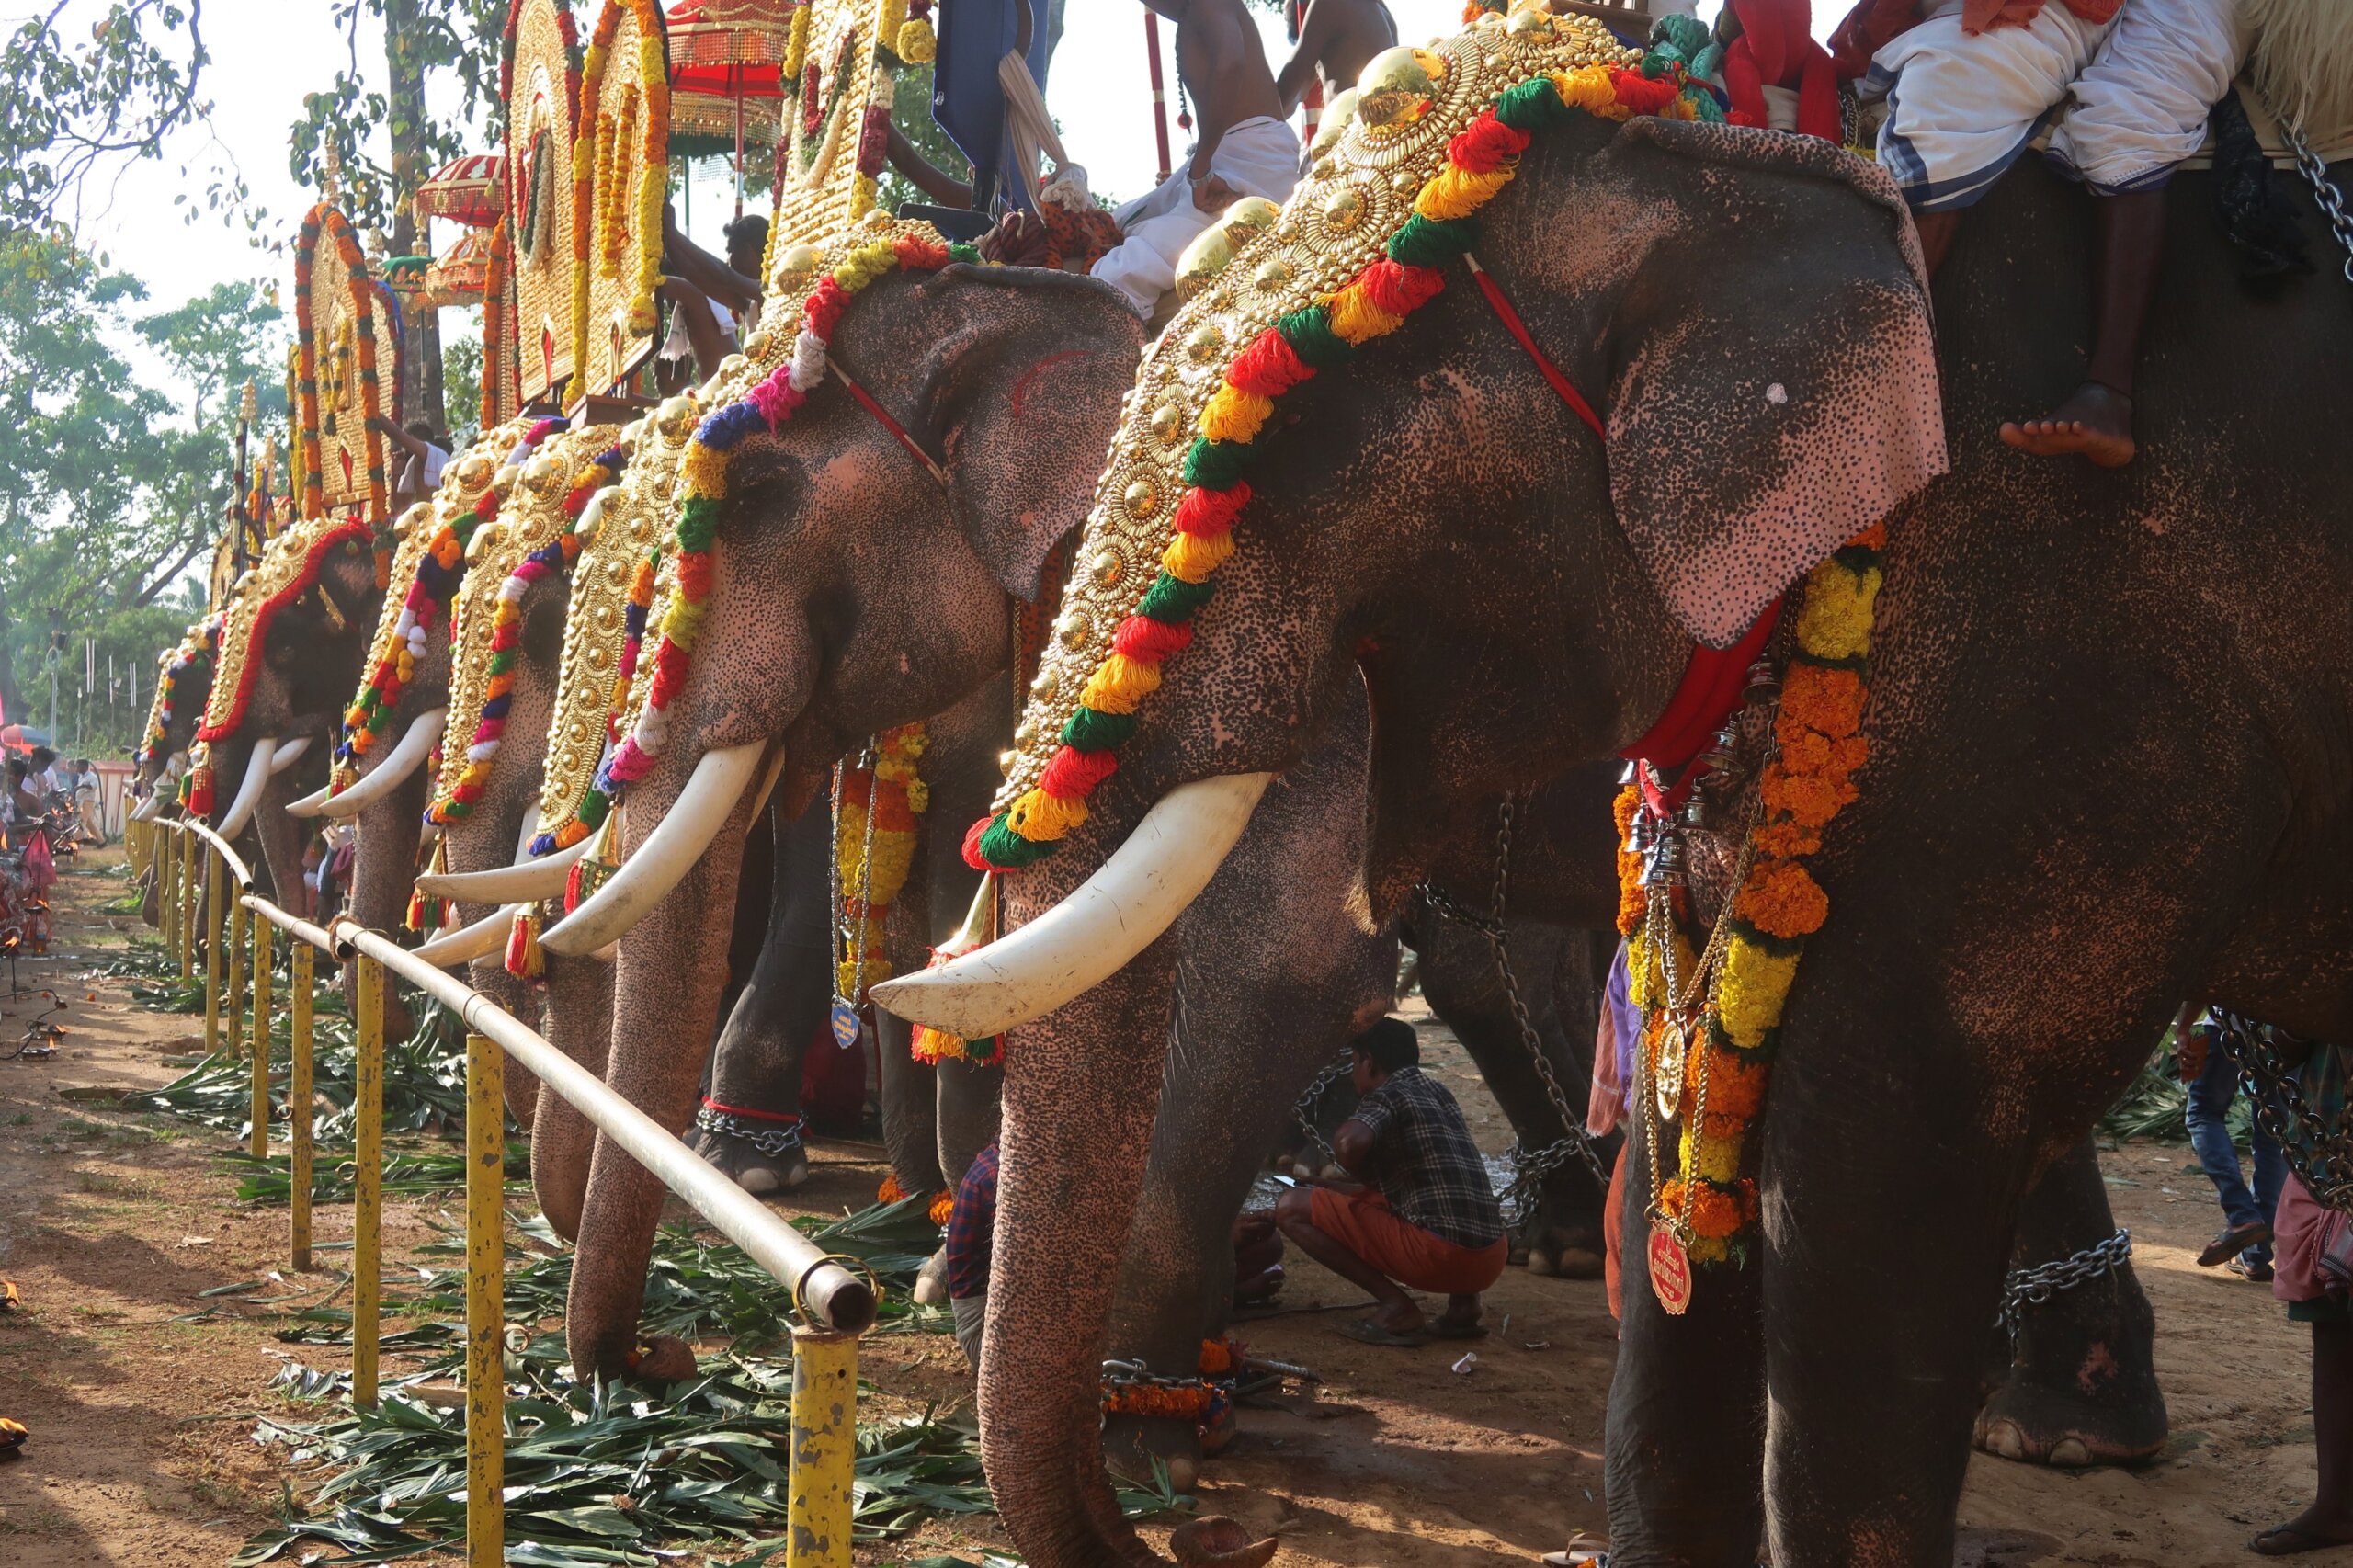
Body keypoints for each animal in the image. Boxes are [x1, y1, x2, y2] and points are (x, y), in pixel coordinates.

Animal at [871, 96, 2347, 1565]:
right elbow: (1693, 1112)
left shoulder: (2069, 670)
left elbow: (1872, 1134)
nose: (1190, 1530)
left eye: (1271, 457)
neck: (1716, 177)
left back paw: (2059, 1432)